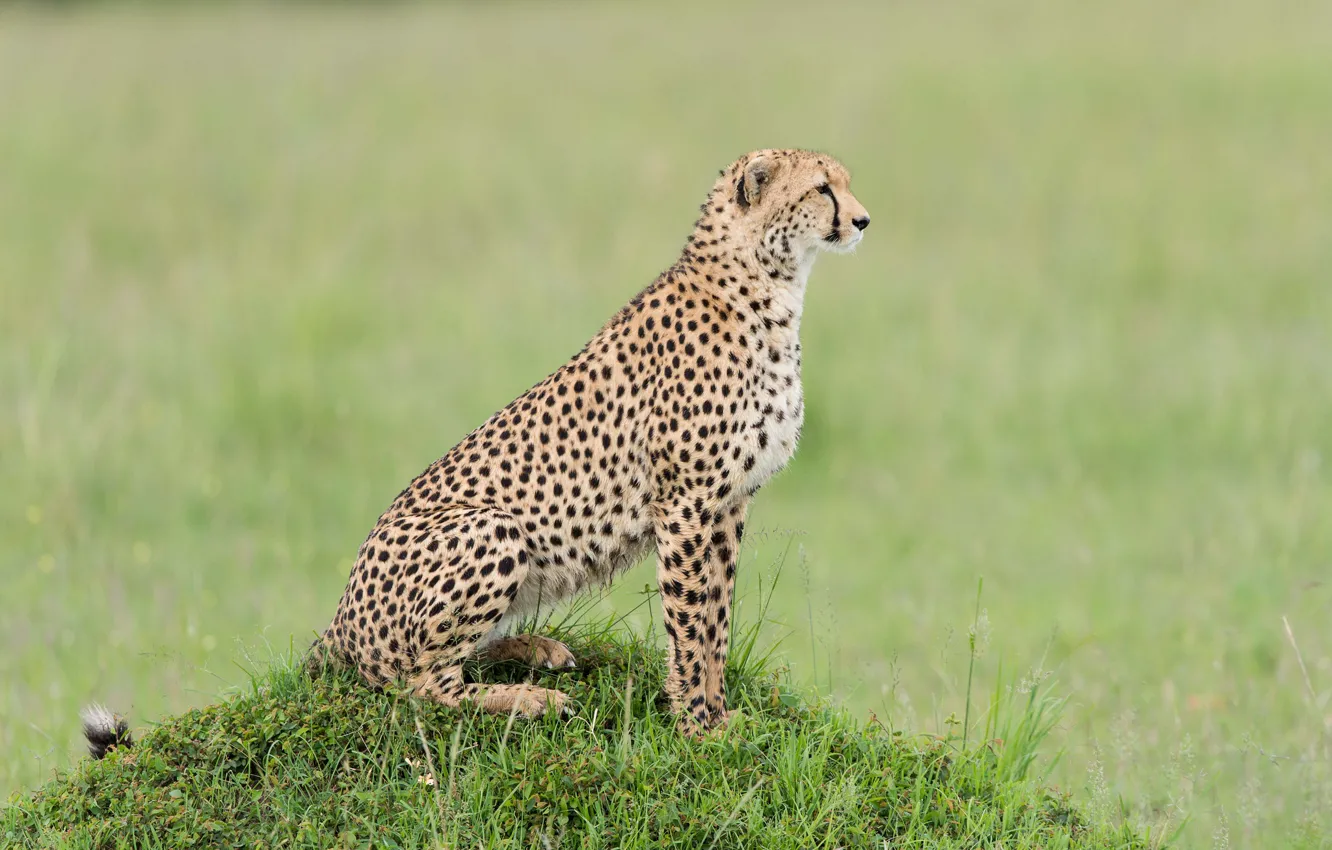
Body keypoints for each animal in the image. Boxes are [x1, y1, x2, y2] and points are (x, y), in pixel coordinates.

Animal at [315, 149, 868, 735]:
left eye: (844, 184)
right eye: (821, 188)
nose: (862, 221)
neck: (765, 286)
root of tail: (339, 621)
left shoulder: (730, 502)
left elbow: (717, 616)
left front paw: (720, 714)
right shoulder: (686, 503)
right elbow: (690, 618)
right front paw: (695, 722)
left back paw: (536, 649)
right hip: (492, 527)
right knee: (423, 683)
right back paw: (529, 699)